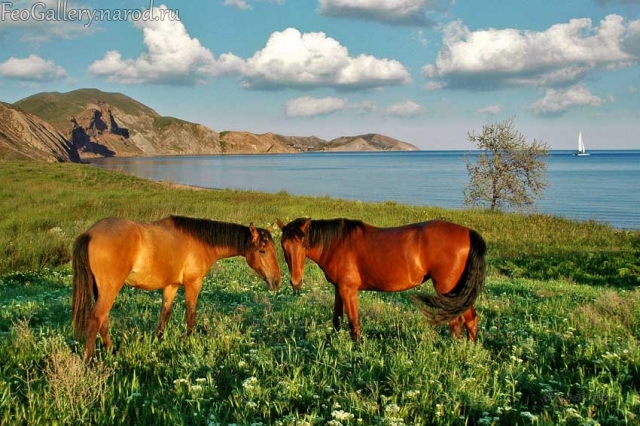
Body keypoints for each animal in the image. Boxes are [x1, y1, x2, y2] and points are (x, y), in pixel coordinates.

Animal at [72, 215, 280, 362]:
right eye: (262, 250)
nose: (277, 281)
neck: (200, 241)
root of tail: (90, 233)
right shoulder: (193, 284)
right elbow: (191, 314)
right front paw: (190, 341)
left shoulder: (171, 286)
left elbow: (165, 314)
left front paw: (158, 340)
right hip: (110, 289)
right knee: (96, 318)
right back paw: (90, 361)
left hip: (101, 290)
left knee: (103, 320)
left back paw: (111, 350)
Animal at [276, 218, 484, 342]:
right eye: (283, 246)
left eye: (303, 245)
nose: (295, 282)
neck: (337, 243)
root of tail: (468, 232)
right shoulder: (339, 288)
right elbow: (337, 319)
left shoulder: (348, 290)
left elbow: (354, 322)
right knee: (467, 321)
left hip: (449, 290)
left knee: (462, 322)